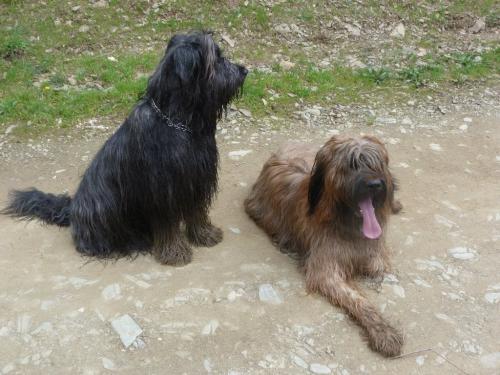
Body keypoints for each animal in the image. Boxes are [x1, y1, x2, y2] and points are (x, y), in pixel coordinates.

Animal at [2, 33, 248, 268]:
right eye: (216, 59)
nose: (244, 71)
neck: (178, 120)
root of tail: (72, 210)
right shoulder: (164, 188)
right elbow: (168, 224)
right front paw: (175, 252)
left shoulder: (196, 178)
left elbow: (197, 212)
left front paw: (204, 235)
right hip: (105, 204)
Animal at [244, 136, 404, 358]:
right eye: (351, 165)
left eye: (377, 163)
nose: (375, 184)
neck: (346, 222)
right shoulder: (326, 270)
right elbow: (357, 300)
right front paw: (383, 331)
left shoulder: (377, 255)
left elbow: (378, 267)